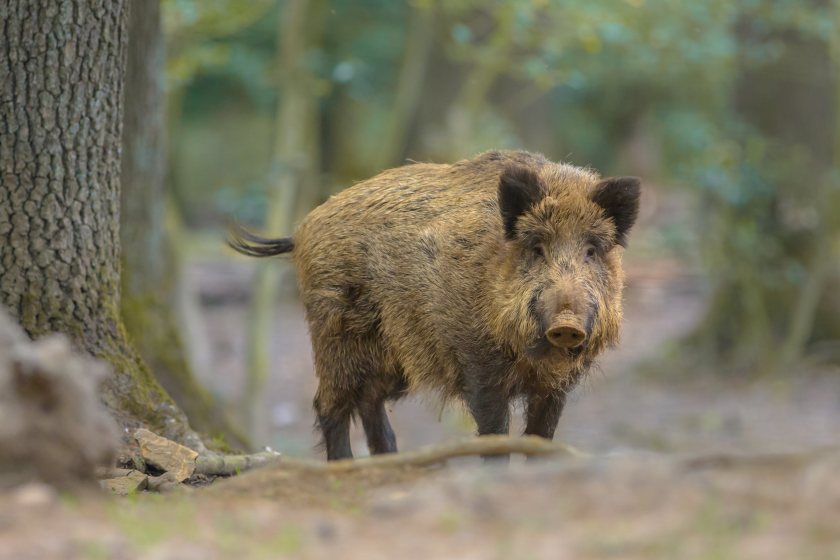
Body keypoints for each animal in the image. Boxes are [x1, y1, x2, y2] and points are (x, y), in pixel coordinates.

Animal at [229, 150, 640, 460]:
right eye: (536, 248)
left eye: (591, 250)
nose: (566, 323)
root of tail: (301, 230)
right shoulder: (478, 363)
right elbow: (494, 434)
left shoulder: (556, 386)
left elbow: (540, 437)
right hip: (335, 335)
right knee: (327, 405)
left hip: (394, 358)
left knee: (369, 401)